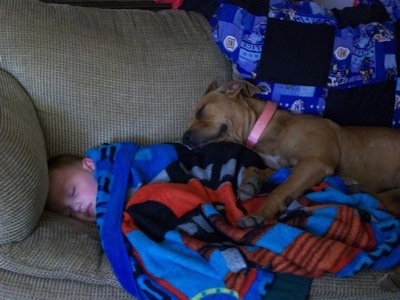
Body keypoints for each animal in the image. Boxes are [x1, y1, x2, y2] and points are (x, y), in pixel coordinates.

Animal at [182, 79, 400, 220]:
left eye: (200, 111)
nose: (184, 137)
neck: (264, 128)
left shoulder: (314, 163)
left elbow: (280, 190)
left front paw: (260, 214)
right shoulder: (285, 167)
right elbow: (258, 169)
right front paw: (250, 183)